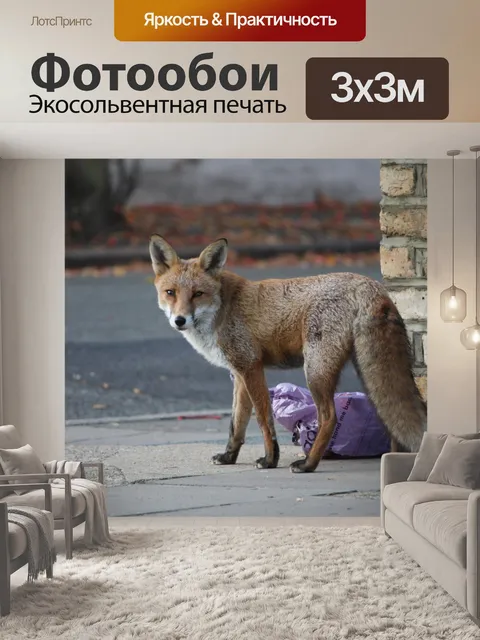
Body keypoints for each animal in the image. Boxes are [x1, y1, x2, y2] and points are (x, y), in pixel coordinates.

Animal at [149, 235, 426, 473]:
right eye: (170, 293)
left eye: (198, 294)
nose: (180, 320)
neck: (222, 309)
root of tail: (370, 284)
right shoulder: (239, 374)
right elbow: (236, 424)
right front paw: (229, 457)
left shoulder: (251, 367)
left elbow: (263, 419)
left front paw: (270, 459)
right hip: (367, 375)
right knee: (389, 422)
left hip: (316, 371)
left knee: (330, 418)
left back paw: (308, 464)